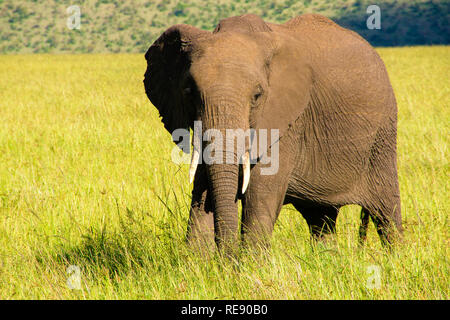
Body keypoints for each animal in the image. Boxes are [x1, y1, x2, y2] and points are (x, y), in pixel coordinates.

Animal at [142, 13, 402, 252]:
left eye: (257, 96)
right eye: (189, 93)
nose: (226, 257)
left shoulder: (288, 119)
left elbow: (259, 193)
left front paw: (247, 267)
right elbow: (202, 190)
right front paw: (199, 263)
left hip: (382, 138)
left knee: (386, 212)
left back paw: (395, 258)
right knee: (321, 218)